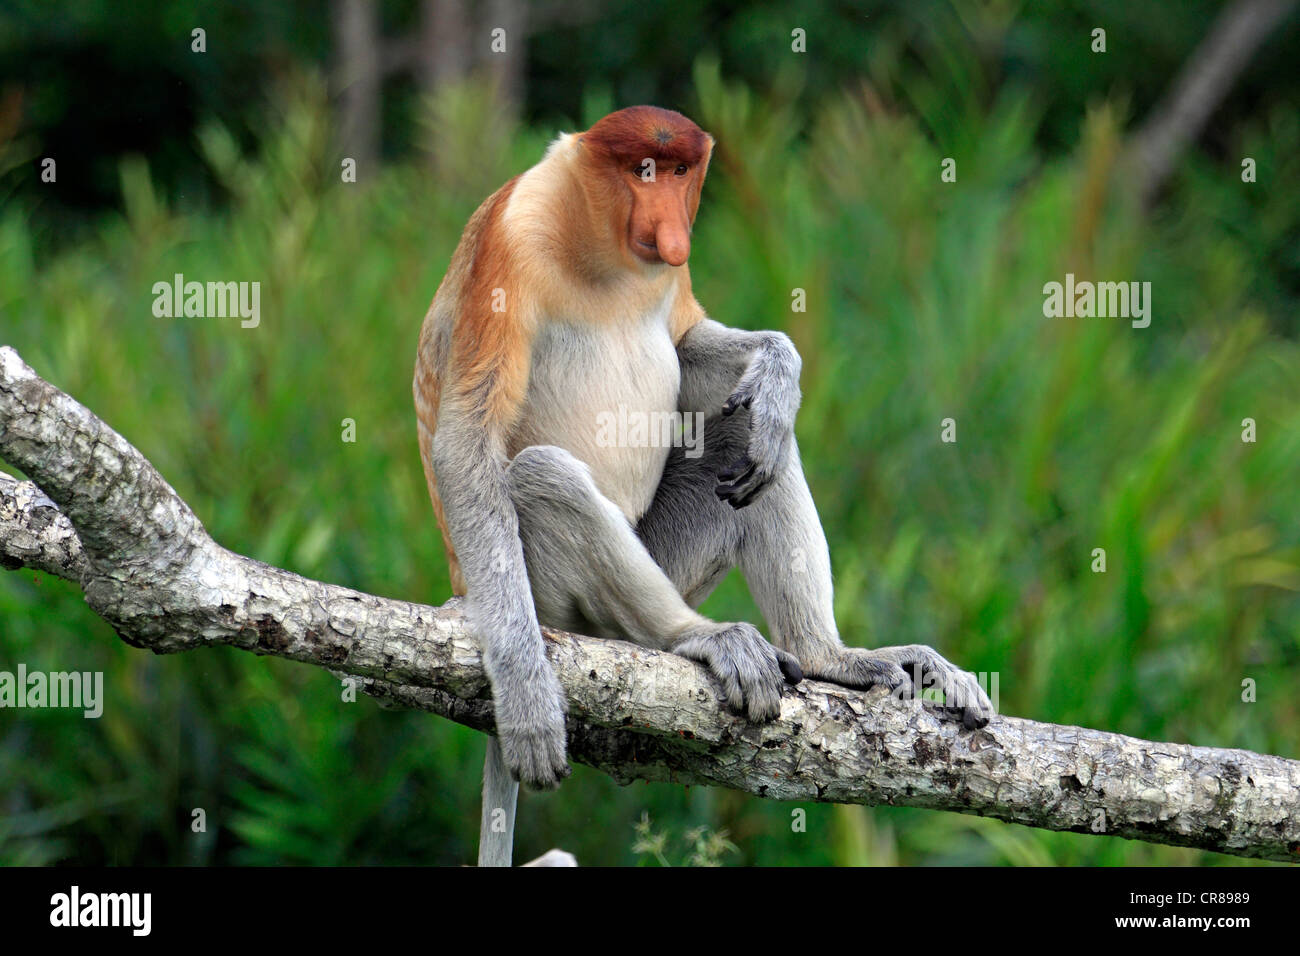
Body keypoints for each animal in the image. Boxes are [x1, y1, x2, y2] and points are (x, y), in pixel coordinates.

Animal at [413, 106, 994, 866]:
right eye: (642, 171)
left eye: (680, 172)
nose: (669, 229)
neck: (602, 251)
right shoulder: (509, 243)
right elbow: (465, 441)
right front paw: (528, 702)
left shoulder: (671, 276)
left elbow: (689, 350)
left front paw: (779, 370)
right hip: (553, 600)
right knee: (541, 477)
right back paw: (699, 638)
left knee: (747, 444)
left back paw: (833, 657)